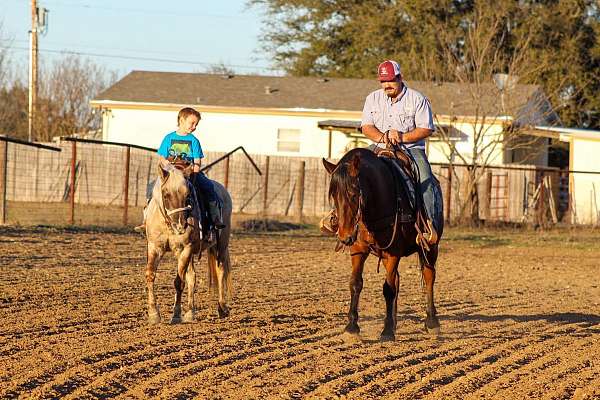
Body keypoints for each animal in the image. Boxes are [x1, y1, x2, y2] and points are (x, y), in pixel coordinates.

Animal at [143, 162, 232, 324]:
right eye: (166, 194)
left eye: (188, 195)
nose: (180, 226)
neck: (168, 225)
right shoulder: (154, 247)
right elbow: (150, 275)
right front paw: (153, 314)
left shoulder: (185, 249)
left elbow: (179, 282)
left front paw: (176, 315)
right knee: (192, 276)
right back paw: (190, 312)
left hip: (221, 245)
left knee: (221, 270)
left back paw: (222, 308)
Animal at [324, 147, 440, 340]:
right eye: (333, 195)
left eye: (353, 193)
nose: (345, 237)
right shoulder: (358, 250)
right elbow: (355, 283)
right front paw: (351, 327)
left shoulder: (393, 253)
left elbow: (388, 289)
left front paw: (386, 332)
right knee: (397, 280)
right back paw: (395, 322)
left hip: (431, 247)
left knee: (429, 276)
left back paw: (432, 323)